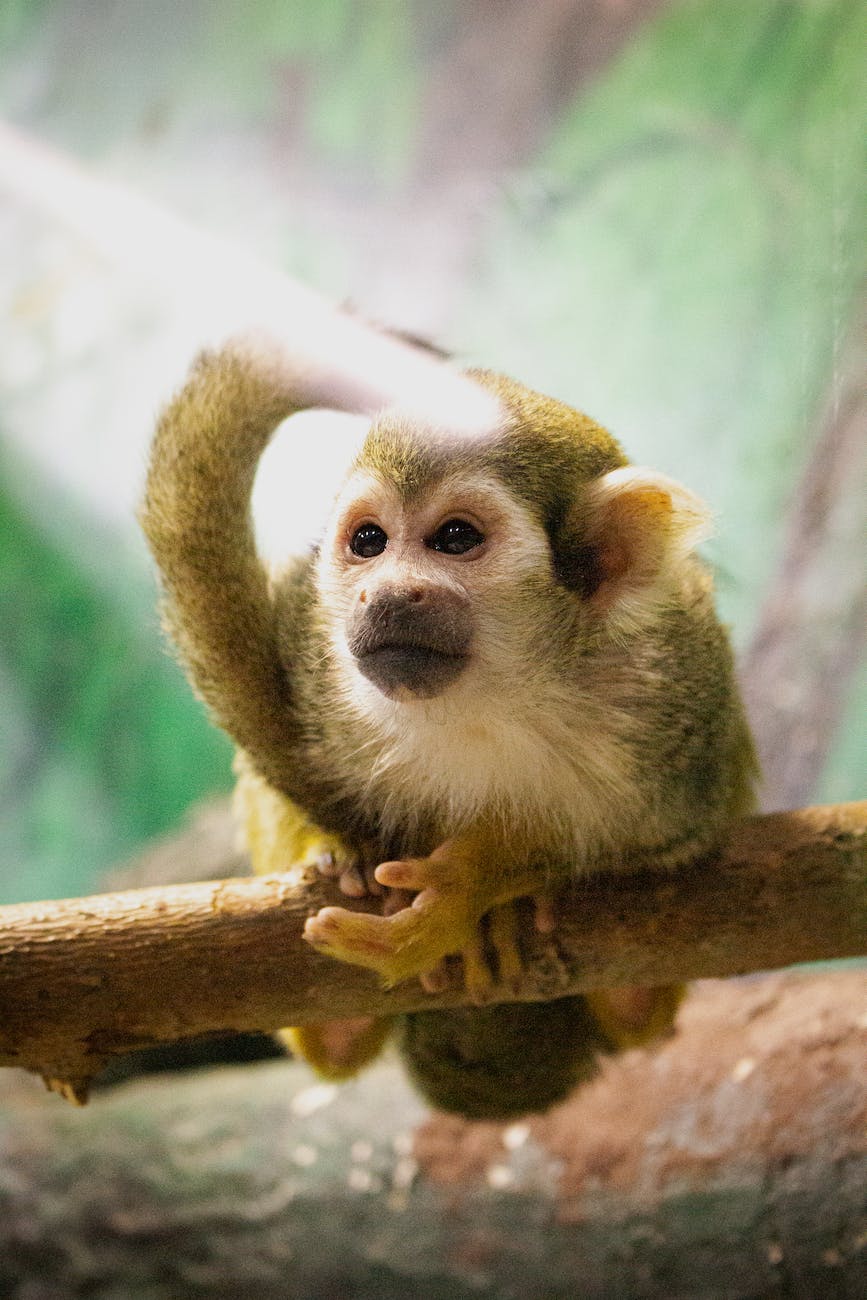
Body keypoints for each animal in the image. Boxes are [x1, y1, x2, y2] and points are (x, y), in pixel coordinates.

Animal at [140, 334, 758, 1119]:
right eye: (369, 541)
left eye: (455, 538)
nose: (385, 593)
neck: (501, 690)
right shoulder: (311, 642)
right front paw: (341, 849)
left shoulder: (671, 693)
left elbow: (674, 832)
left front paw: (478, 883)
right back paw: (339, 1016)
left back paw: (626, 996)